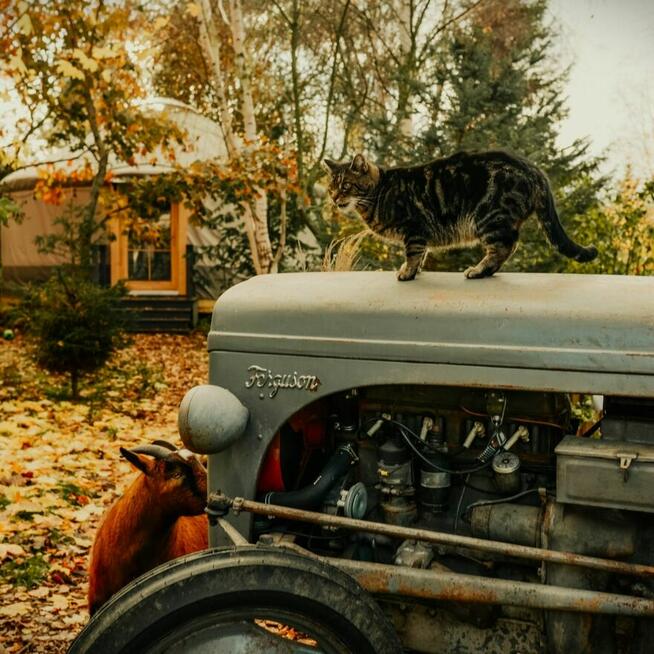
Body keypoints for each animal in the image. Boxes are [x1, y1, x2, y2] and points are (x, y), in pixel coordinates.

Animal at [322, 151, 600, 280]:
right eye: (331, 187)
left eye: (345, 186)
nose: (334, 199)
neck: (378, 194)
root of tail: (534, 169)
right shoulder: (420, 236)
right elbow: (421, 255)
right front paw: (414, 270)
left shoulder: (414, 229)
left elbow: (413, 254)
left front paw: (407, 273)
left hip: (490, 218)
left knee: (505, 247)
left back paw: (478, 270)